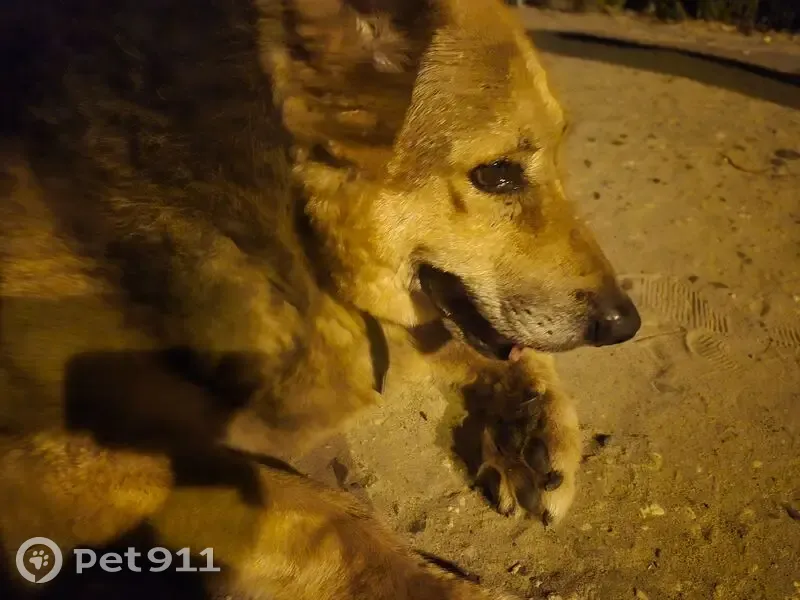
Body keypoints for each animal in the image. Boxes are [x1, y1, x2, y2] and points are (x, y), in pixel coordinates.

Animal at [0, 0, 641, 598]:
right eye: (497, 173)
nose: (626, 324)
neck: (278, 222)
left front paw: (530, 426)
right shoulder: (56, 458)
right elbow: (330, 518)